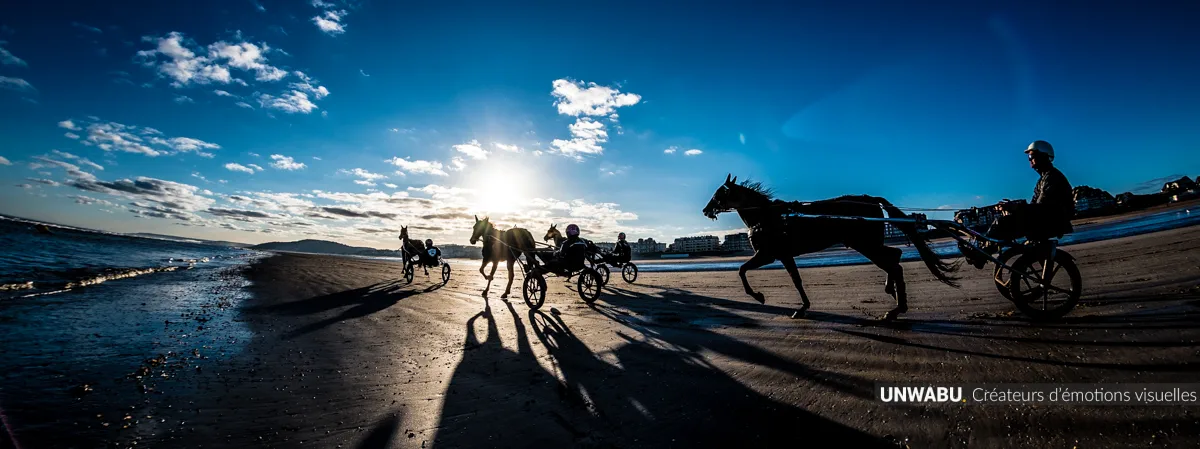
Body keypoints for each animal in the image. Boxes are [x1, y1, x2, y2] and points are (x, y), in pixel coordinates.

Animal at [700, 172, 960, 319]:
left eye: (719, 193)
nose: (705, 209)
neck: (768, 217)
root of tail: (870, 200)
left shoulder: (768, 254)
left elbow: (742, 270)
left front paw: (759, 296)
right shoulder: (784, 255)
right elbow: (796, 280)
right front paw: (803, 307)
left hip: (864, 243)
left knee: (893, 262)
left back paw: (896, 308)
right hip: (867, 243)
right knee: (894, 256)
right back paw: (893, 293)